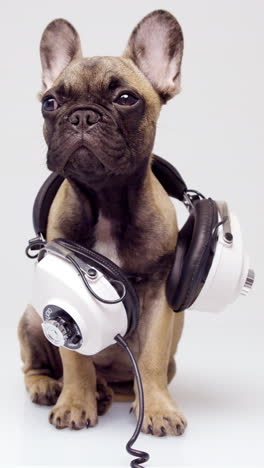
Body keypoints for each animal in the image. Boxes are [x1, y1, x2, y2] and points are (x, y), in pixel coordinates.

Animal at [17, 9, 187, 436]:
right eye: (50, 102)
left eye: (126, 98)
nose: (81, 115)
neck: (106, 199)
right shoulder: (66, 291)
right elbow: (76, 360)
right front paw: (76, 402)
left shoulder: (159, 297)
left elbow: (151, 359)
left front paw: (157, 409)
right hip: (31, 319)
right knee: (39, 365)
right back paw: (55, 387)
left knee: (131, 379)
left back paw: (113, 394)